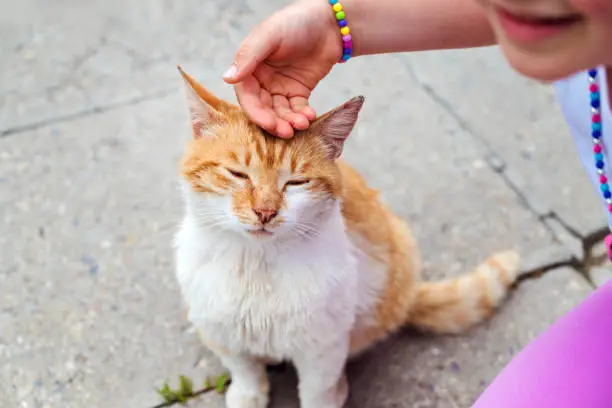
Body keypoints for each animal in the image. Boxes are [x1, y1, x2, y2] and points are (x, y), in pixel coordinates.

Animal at [173, 67, 520, 408]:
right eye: (238, 174)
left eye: (296, 183)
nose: (265, 212)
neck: (257, 266)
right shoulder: (220, 332)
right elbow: (245, 371)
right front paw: (249, 395)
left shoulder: (323, 347)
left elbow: (318, 393)